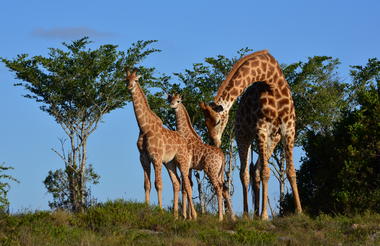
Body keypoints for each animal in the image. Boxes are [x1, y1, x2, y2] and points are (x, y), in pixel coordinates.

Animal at [126, 69, 197, 219]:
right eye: (126, 79)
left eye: (136, 80)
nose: (129, 87)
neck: (144, 128)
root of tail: (187, 144)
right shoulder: (143, 158)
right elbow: (146, 184)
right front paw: (146, 209)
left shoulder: (156, 157)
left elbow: (158, 184)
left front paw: (160, 211)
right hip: (170, 163)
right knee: (177, 183)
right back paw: (176, 216)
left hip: (183, 161)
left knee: (187, 185)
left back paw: (193, 216)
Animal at [199, 50, 302, 219]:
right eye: (205, 123)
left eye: (217, 121)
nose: (215, 142)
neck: (272, 82)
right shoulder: (261, 129)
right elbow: (266, 172)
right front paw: (265, 215)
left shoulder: (288, 129)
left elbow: (290, 172)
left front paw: (299, 211)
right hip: (243, 136)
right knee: (244, 173)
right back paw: (248, 214)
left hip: (273, 139)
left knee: (256, 170)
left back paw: (256, 214)